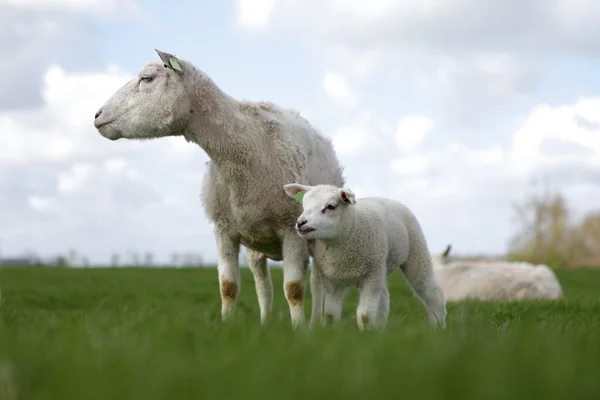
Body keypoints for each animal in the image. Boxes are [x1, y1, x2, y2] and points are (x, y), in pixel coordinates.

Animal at [94, 48, 346, 326]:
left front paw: (299, 330)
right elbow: (228, 287)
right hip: (255, 242)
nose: (97, 115)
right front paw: (226, 326)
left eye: (147, 78)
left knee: (317, 284)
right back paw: (265, 324)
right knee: (263, 285)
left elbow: (295, 290)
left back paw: (315, 325)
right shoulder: (223, 229)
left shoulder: (291, 230)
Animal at [282, 183, 446, 330]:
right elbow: (330, 315)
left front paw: (365, 334)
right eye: (303, 205)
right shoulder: (332, 280)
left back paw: (437, 327)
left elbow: (364, 315)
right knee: (384, 298)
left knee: (431, 291)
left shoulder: (371, 277)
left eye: (331, 206)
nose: (300, 223)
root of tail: (388, 199)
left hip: (414, 253)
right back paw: (379, 330)